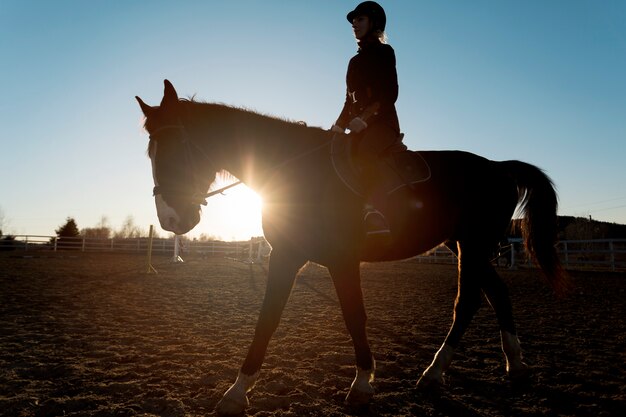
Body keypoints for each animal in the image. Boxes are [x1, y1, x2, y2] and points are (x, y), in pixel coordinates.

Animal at [135, 80, 564, 412]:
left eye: (175, 146)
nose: (170, 220)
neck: (296, 170)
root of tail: (498, 167)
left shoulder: (342, 261)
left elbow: (354, 316)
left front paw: (361, 384)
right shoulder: (285, 256)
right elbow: (267, 318)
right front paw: (237, 392)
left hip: (473, 246)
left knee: (467, 303)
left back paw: (434, 372)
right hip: (465, 245)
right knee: (497, 294)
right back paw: (514, 367)